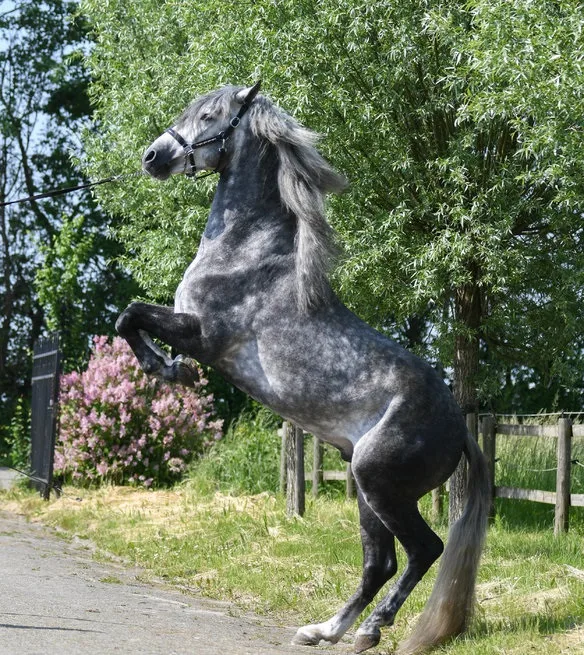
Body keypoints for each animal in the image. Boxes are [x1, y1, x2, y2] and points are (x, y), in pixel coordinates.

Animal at [116, 82, 490, 654]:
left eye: (210, 115)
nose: (153, 157)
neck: (246, 250)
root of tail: (458, 429)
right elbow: (129, 316)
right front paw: (170, 369)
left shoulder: (203, 335)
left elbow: (130, 315)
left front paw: (168, 370)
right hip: (368, 491)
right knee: (380, 562)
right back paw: (325, 630)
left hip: (379, 484)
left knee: (424, 550)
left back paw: (369, 630)